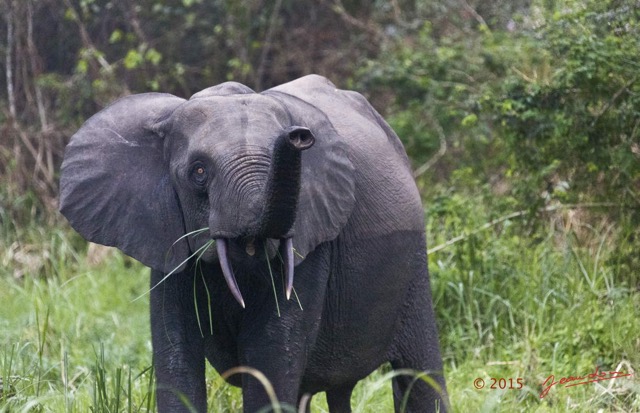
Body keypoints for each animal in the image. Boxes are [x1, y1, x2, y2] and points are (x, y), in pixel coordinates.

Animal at [61, 75, 450, 412]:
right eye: (198, 171)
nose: (298, 136)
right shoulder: (164, 238)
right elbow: (176, 354)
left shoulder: (313, 240)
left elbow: (272, 354)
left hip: (414, 264)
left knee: (419, 373)